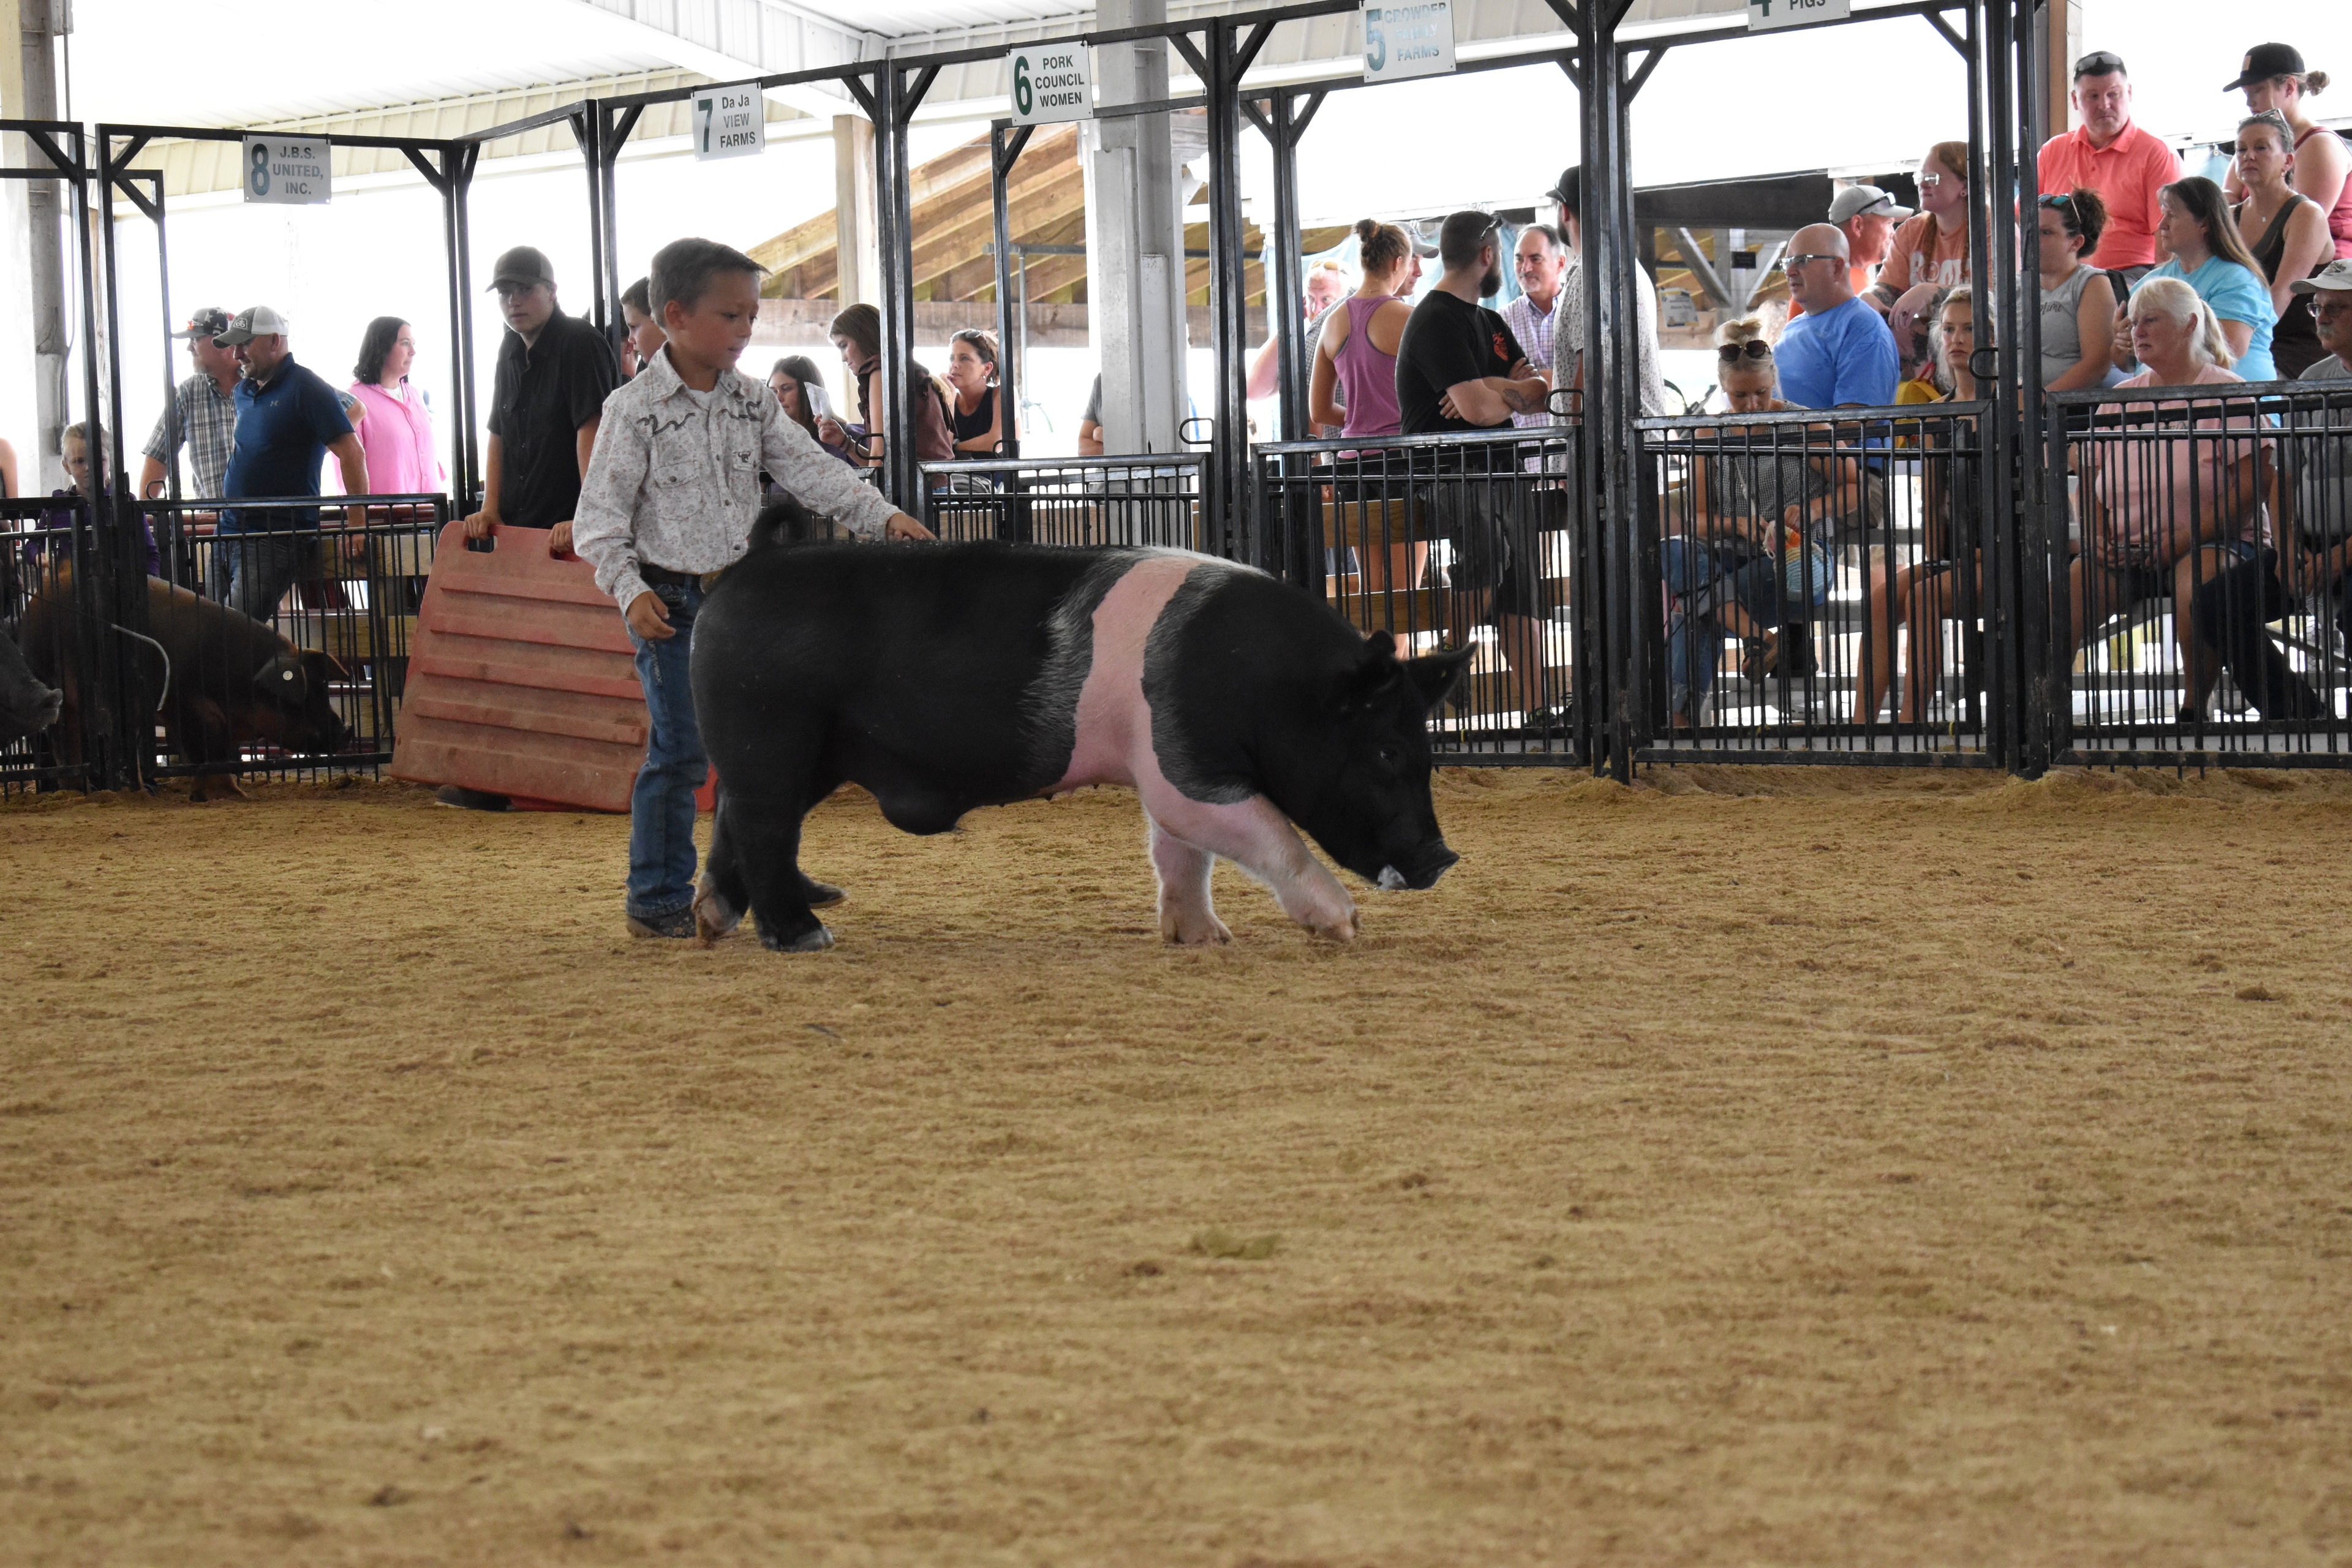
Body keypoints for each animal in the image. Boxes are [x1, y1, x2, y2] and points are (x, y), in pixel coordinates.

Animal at [19, 568, 351, 801]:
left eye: (324, 687)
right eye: (307, 695)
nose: (344, 730)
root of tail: (37, 596)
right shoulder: (188, 707)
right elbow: (210, 751)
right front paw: (234, 796)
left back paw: (145, 791)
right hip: (55, 683)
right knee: (64, 741)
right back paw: (78, 791)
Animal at [688, 502, 1473, 953]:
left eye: (1429, 753)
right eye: (1386, 750)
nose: (1444, 858)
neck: (1268, 687)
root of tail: (747, 567)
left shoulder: (1168, 765)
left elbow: (1180, 853)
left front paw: (1202, 939)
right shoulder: (1189, 770)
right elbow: (1267, 834)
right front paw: (1344, 925)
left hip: (807, 752)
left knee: (736, 819)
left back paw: (713, 922)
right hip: (771, 731)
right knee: (762, 825)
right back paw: (806, 935)